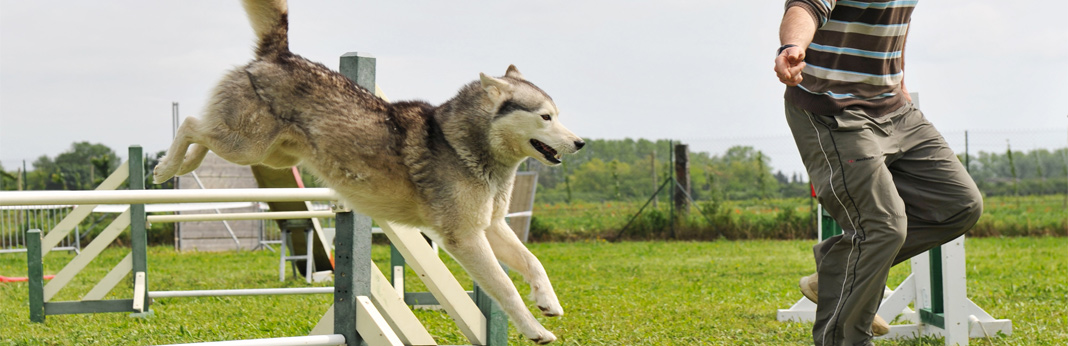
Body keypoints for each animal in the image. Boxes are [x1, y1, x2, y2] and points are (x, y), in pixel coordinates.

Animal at [154, 0, 580, 343]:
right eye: (545, 117)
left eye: (559, 115)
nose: (579, 143)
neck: (471, 147)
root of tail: (280, 54)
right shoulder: (466, 238)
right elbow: (506, 287)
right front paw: (536, 330)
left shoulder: (491, 226)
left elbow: (533, 262)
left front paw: (548, 301)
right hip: (247, 145)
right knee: (191, 124)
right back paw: (166, 166)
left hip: (272, 156)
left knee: (204, 135)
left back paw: (185, 164)